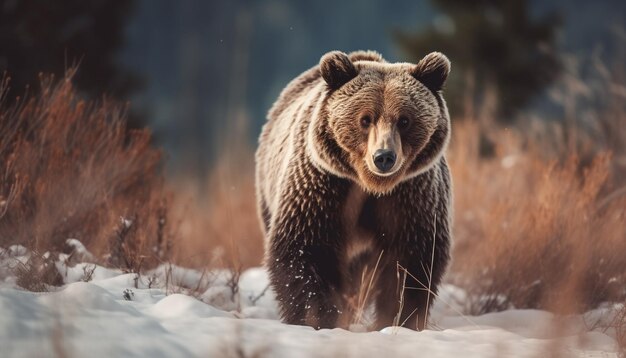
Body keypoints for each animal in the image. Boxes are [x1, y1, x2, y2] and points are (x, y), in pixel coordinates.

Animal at [256, 49, 450, 330]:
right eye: (365, 119)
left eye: (404, 120)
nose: (384, 157)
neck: (369, 185)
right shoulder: (323, 186)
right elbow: (306, 251)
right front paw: (318, 317)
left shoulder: (412, 197)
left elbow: (410, 264)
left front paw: (398, 319)